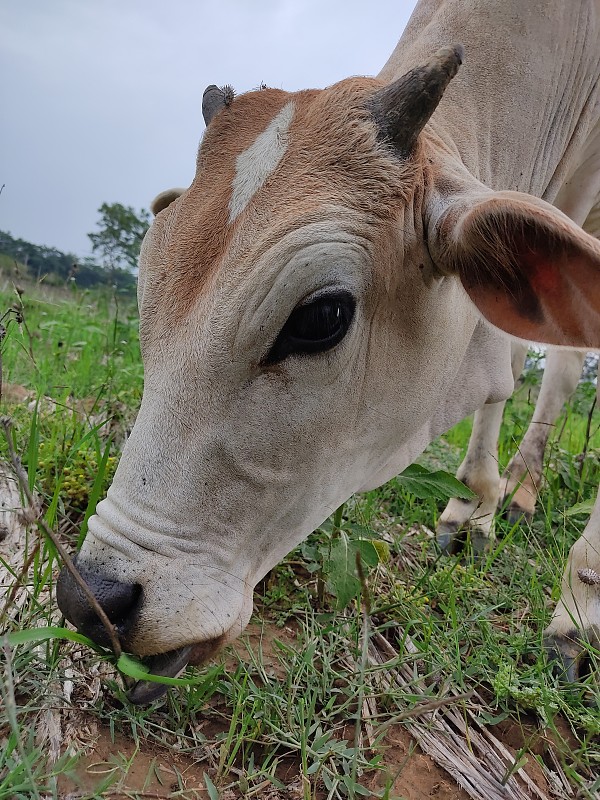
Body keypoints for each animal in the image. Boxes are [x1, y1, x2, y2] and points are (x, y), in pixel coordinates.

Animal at [57, 0, 600, 700]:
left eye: (319, 317)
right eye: (148, 289)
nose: (93, 600)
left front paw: (579, 614)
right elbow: (503, 368)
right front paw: (474, 505)